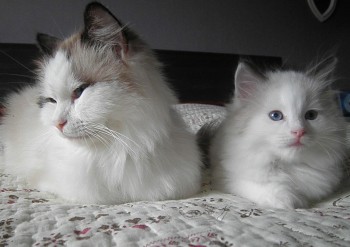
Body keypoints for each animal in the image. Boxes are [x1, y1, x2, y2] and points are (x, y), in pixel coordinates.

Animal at [211, 57, 348, 208]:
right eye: (276, 116)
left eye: (311, 115)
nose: (299, 131)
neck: (289, 166)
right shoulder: (226, 177)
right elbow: (264, 188)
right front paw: (291, 201)